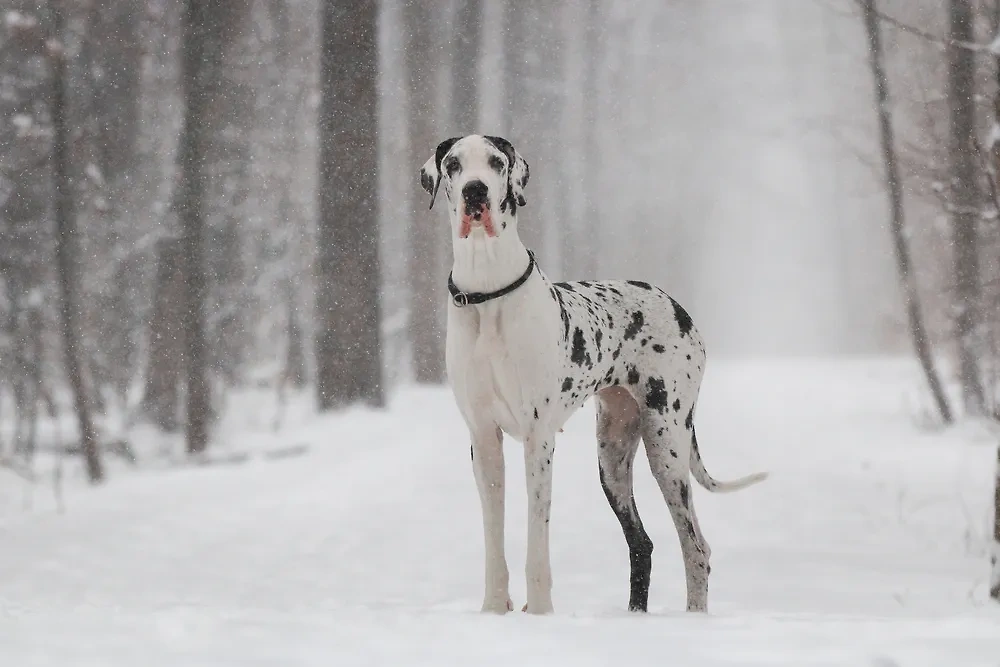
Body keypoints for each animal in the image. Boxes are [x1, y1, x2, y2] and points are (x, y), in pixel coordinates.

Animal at [418, 134, 768, 616]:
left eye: (496, 162)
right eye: (453, 164)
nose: (475, 191)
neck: (488, 291)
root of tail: (675, 305)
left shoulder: (538, 439)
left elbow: (537, 537)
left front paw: (539, 611)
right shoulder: (483, 439)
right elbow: (494, 537)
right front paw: (493, 609)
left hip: (667, 443)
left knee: (696, 546)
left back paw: (693, 616)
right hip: (612, 456)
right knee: (642, 543)